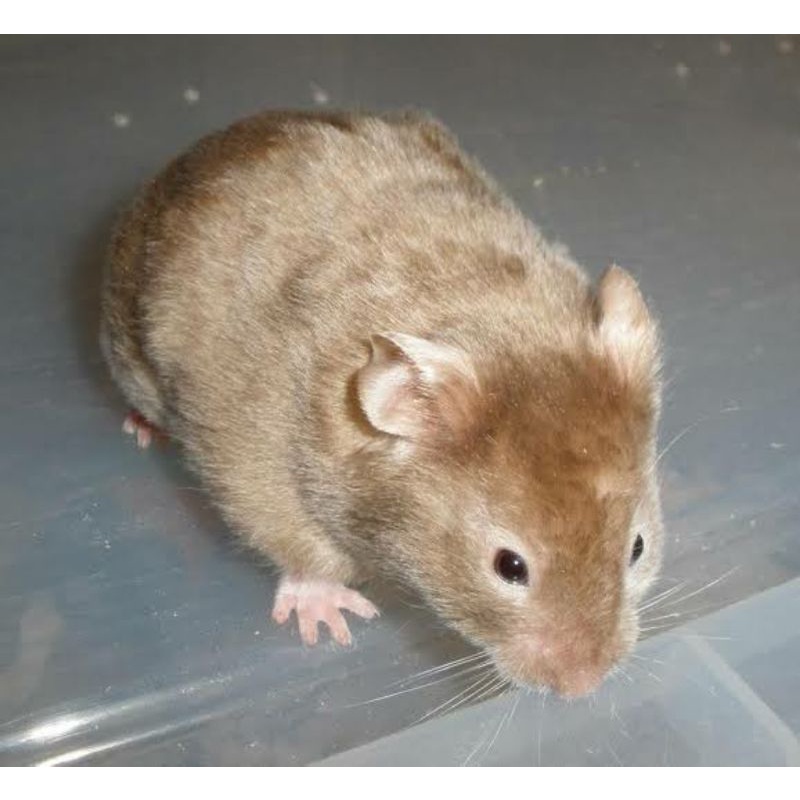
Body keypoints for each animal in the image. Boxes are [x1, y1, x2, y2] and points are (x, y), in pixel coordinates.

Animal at [100, 110, 664, 698]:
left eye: (638, 547)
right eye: (509, 566)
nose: (583, 687)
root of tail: (184, 159)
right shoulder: (257, 467)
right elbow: (301, 549)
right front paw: (331, 623)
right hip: (127, 348)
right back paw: (142, 428)